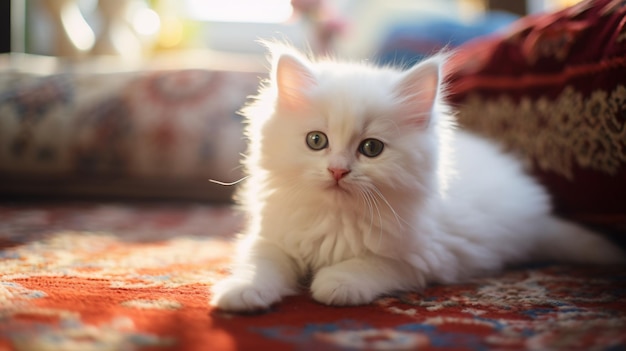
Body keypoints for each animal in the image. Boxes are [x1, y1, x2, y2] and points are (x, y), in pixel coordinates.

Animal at [211, 45, 624, 312]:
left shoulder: (422, 257)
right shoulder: (271, 237)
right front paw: (242, 293)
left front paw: (335, 283)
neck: (336, 218)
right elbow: (262, 264)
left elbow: (369, 265)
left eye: (371, 148)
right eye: (316, 141)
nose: (338, 170)